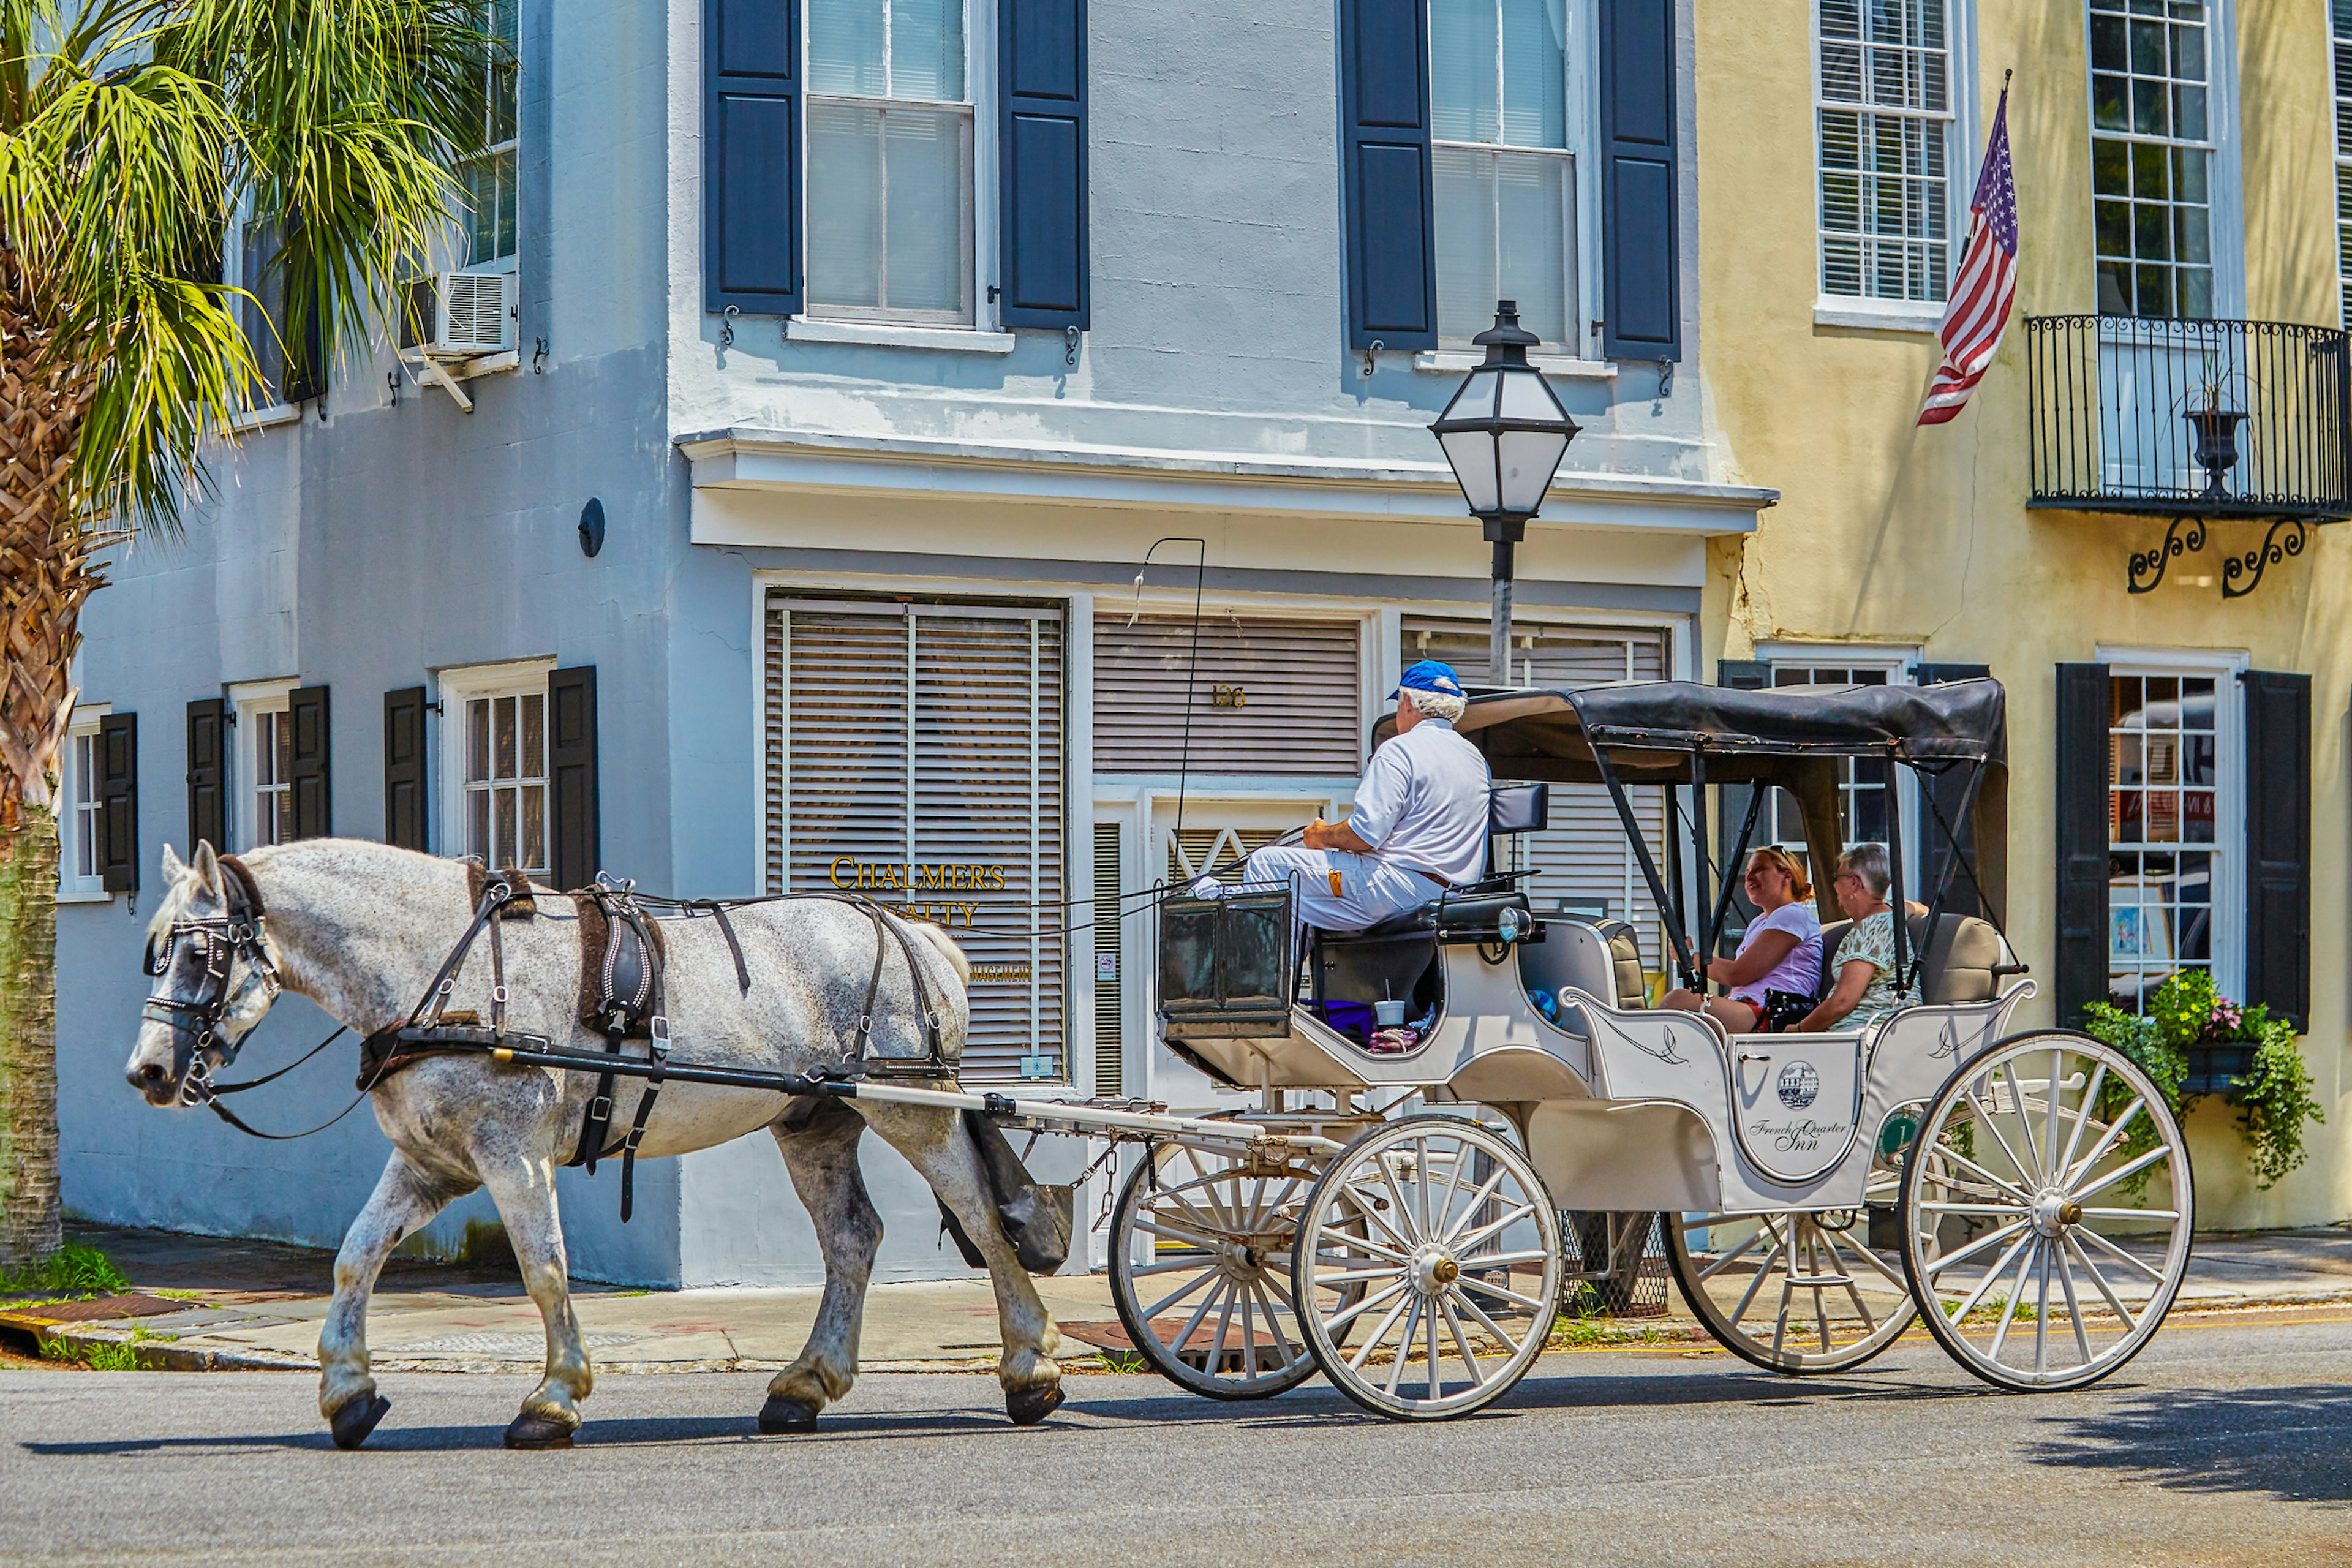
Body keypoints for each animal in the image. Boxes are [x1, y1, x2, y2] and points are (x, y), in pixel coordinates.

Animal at [119, 846, 1058, 1448]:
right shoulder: (433, 1162)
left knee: (983, 1218)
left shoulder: (511, 1153)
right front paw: (348, 1392)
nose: (148, 1071)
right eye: (153, 953)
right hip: (815, 1123)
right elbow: (356, 1258)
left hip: (915, 1109)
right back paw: (804, 1384)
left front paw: (553, 1399)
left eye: (199, 953)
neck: (446, 972)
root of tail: (913, 932)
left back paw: (1030, 1367)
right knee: (853, 1239)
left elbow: (544, 1269)